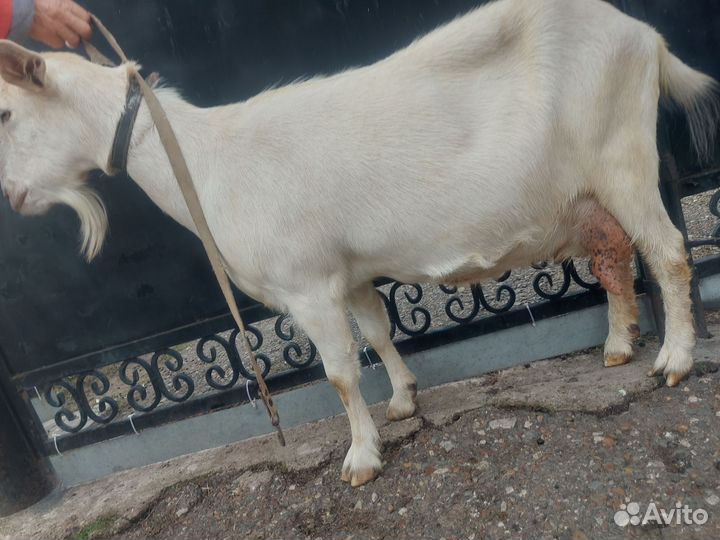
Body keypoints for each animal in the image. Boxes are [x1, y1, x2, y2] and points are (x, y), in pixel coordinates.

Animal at [0, 0, 716, 487]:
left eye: (6, 111)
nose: (12, 195)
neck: (204, 162)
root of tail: (645, 36)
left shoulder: (307, 286)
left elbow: (340, 373)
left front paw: (361, 457)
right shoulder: (348, 274)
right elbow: (376, 332)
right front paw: (402, 401)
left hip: (622, 155)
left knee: (667, 251)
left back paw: (674, 359)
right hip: (590, 192)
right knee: (615, 254)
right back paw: (618, 346)